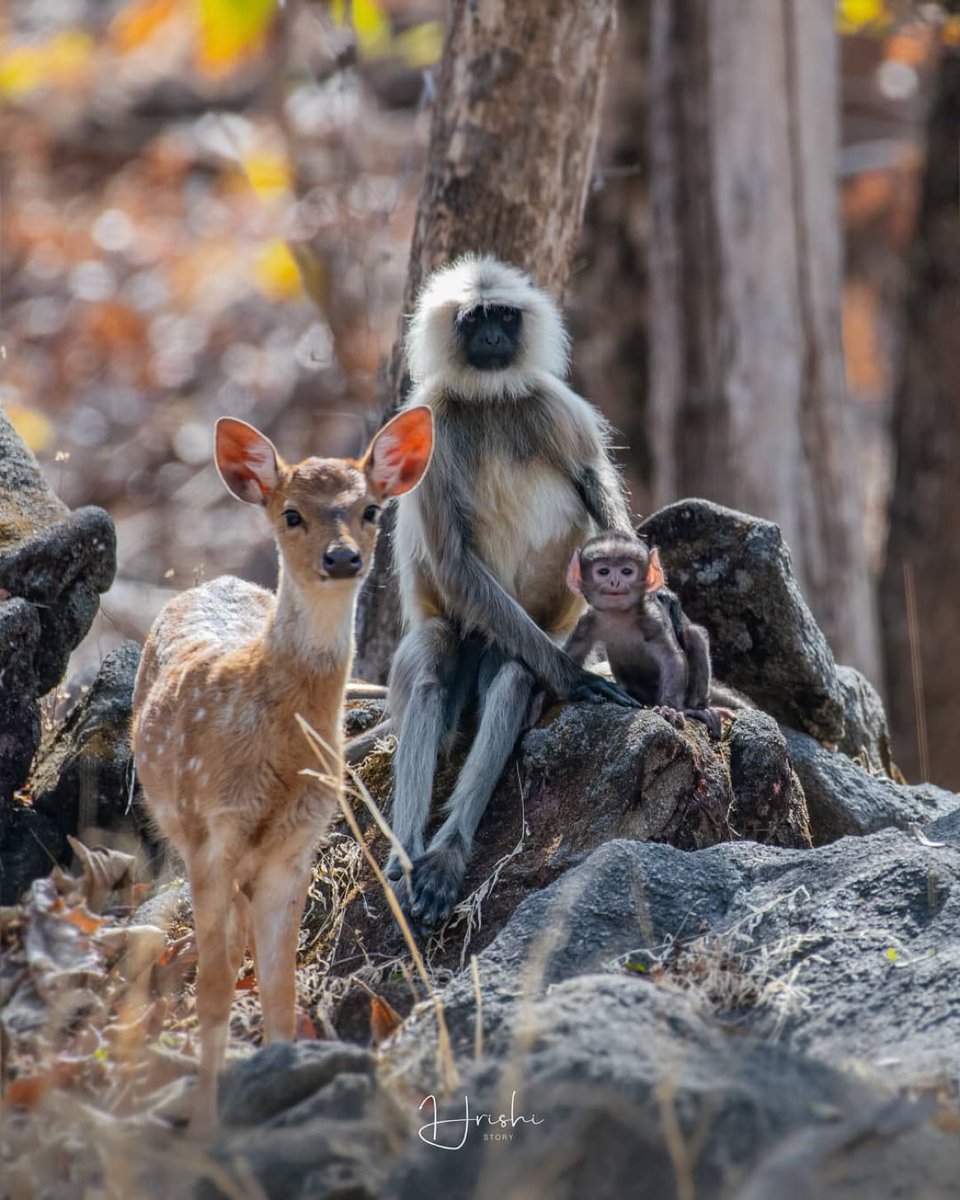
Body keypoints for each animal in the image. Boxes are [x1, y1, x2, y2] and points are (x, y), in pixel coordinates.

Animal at [131, 405, 434, 1134]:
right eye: (292, 513)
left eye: (371, 510)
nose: (343, 556)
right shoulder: (212, 829)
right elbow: (214, 990)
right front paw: (206, 1128)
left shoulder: (299, 842)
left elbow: (279, 987)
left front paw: (275, 1082)